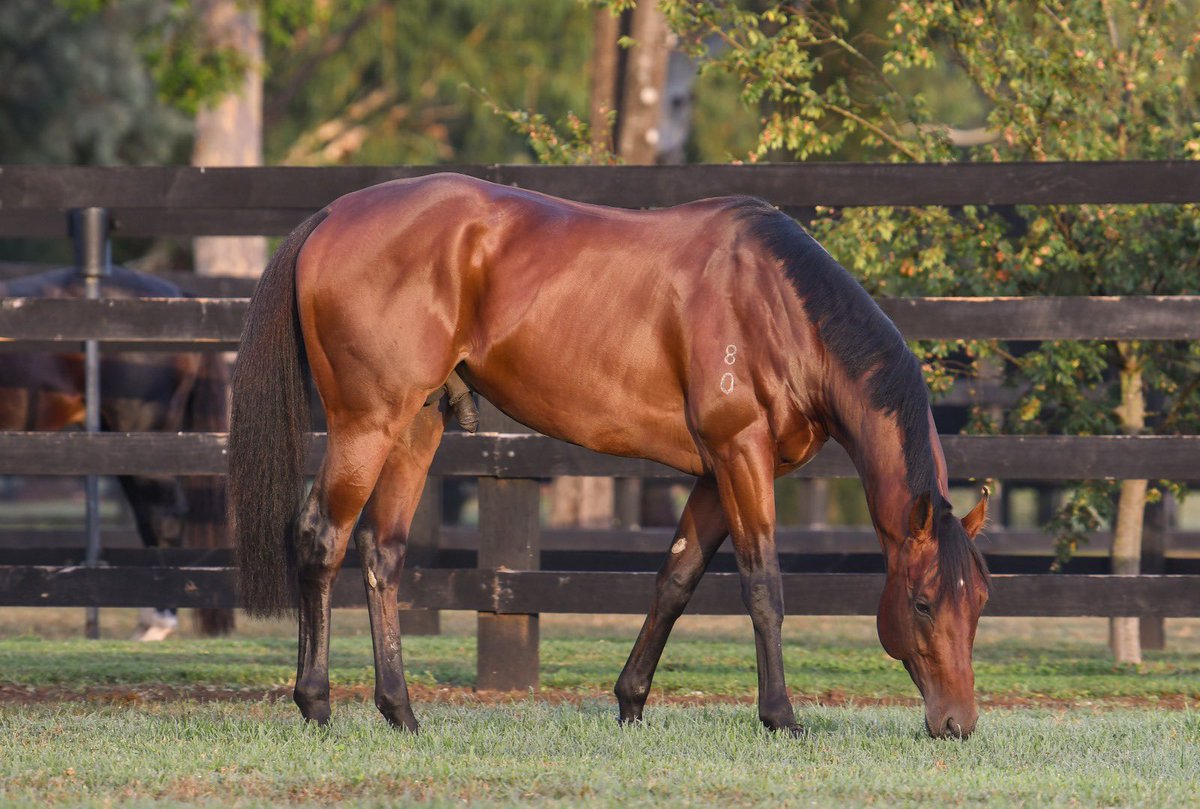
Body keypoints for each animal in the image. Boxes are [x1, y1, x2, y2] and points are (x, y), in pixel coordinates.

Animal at [229, 171, 988, 739]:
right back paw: (316, 703)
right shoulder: (741, 455)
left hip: (416, 424)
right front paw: (781, 715)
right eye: (922, 603)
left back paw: (402, 712)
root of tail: (333, 213)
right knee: (321, 538)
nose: (956, 724)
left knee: (381, 552)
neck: (778, 306)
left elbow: (675, 581)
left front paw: (631, 700)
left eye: (979, 600)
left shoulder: (717, 472)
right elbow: (763, 586)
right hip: (366, 424)